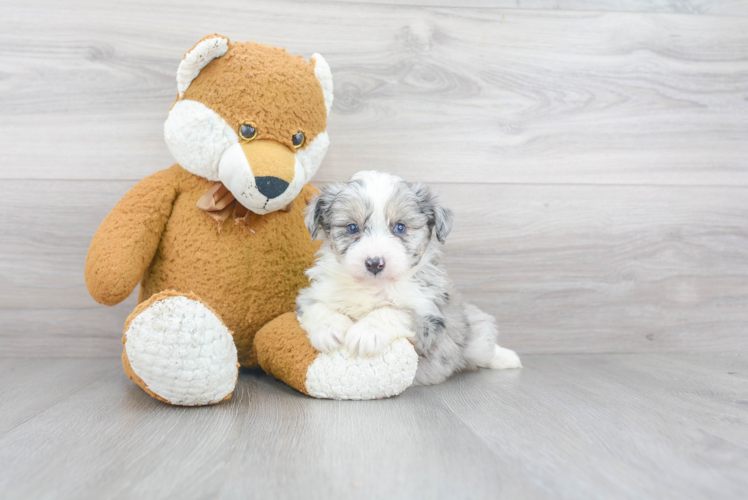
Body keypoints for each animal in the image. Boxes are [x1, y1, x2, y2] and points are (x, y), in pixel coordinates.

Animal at [296, 170, 520, 384]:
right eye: (352, 228)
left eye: (400, 227)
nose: (374, 263)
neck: (373, 286)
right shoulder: (310, 295)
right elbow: (317, 307)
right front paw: (329, 329)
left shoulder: (429, 319)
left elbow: (396, 311)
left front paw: (367, 331)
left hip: (473, 337)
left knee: (484, 345)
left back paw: (507, 358)